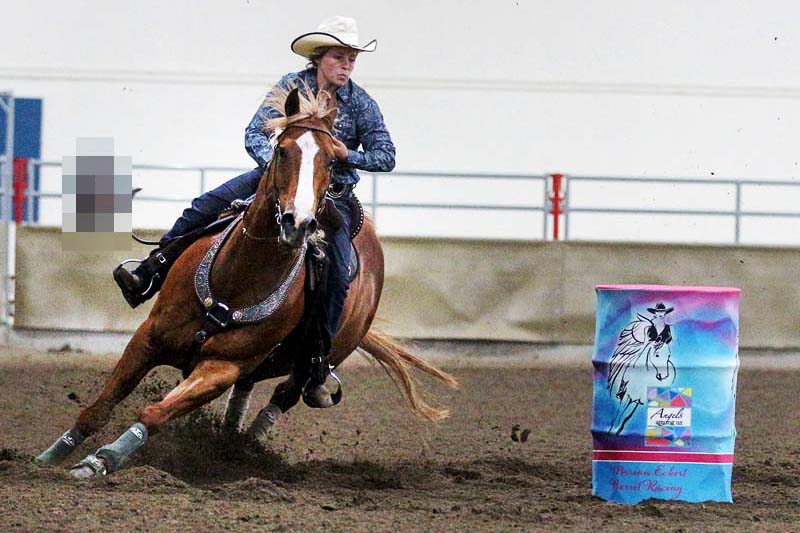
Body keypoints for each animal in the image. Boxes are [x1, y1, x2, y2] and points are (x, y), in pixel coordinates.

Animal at [36, 87, 456, 478]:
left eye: (332, 159)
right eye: (282, 151)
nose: (297, 223)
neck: (237, 278)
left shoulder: (222, 367)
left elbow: (156, 412)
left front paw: (102, 459)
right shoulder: (149, 337)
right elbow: (101, 404)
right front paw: (51, 457)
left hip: (319, 360)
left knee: (284, 395)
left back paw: (246, 448)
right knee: (246, 392)